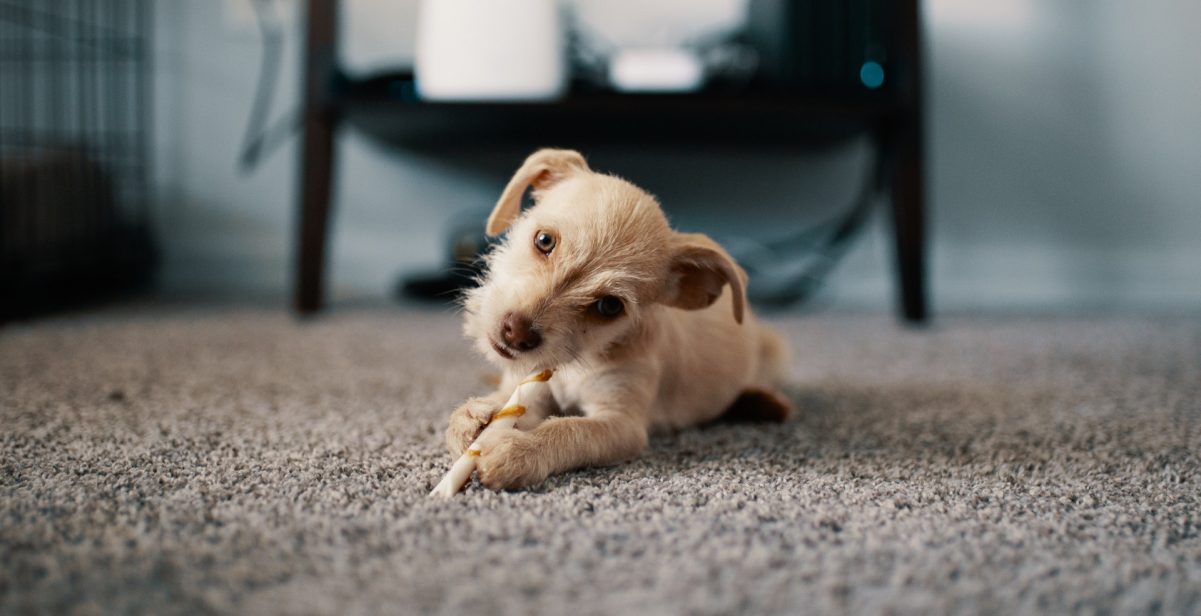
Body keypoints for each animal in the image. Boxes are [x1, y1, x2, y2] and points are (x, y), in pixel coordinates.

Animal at [446, 148, 792, 489]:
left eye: (610, 306)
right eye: (544, 241)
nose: (516, 334)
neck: (578, 362)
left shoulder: (621, 424)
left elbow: (569, 430)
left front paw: (518, 449)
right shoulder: (531, 388)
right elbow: (508, 403)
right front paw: (474, 416)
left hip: (774, 349)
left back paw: (762, 402)